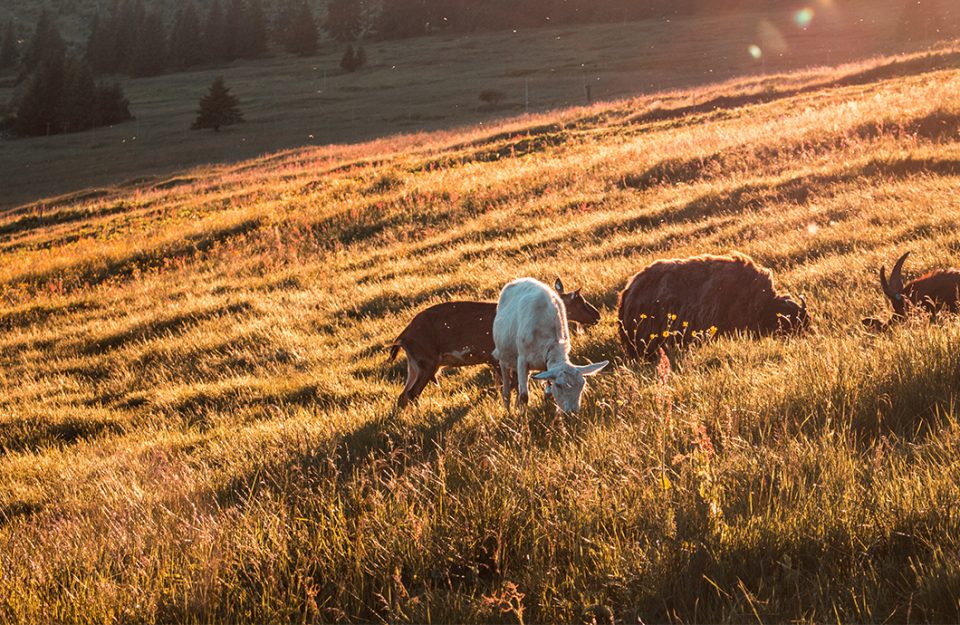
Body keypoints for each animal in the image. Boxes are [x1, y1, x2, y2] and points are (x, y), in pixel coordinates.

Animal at [388, 276, 600, 404]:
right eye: (580, 301)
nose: (597, 315)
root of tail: (402, 337)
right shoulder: (495, 357)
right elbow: (511, 384)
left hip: (414, 364)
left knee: (403, 396)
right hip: (427, 362)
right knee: (412, 393)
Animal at [496, 276, 608, 412]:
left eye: (582, 385)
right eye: (559, 385)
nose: (572, 412)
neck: (552, 344)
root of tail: (521, 279)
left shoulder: (546, 365)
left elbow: (547, 393)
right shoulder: (522, 360)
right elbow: (524, 396)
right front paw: (521, 416)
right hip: (504, 357)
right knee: (506, 389)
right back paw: (508, 409)